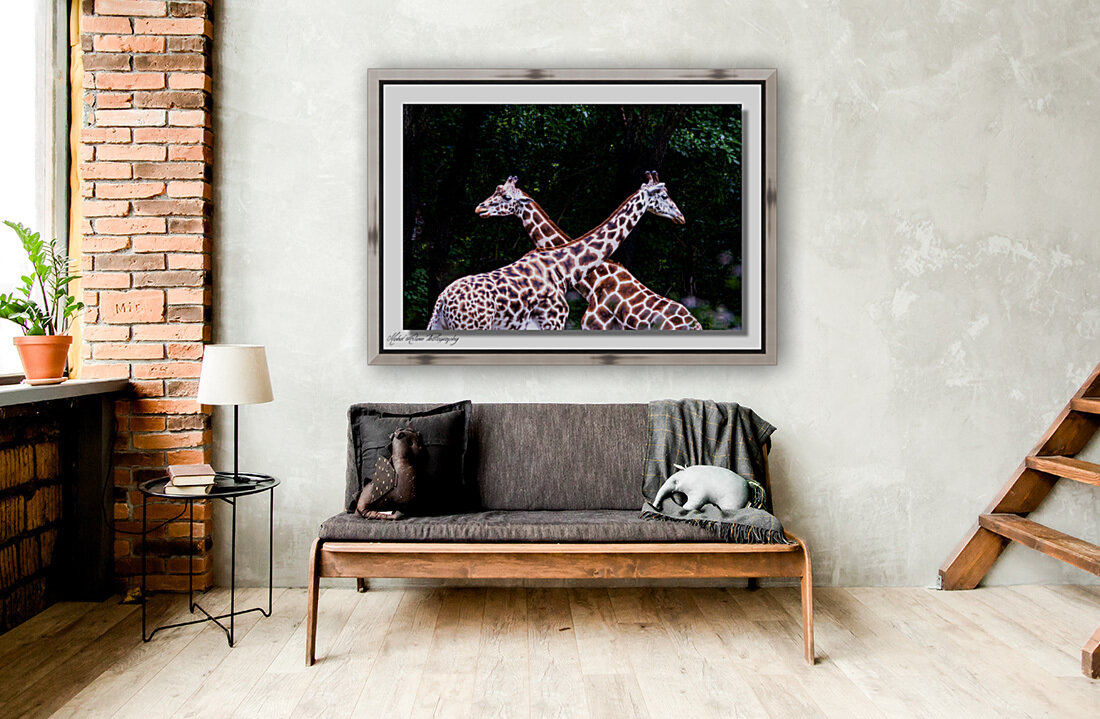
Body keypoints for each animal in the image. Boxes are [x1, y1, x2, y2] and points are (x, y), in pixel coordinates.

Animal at [426, 172, 685, 331]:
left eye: (505, 195)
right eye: (664, 195)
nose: (680, 216)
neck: (565, 267)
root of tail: (442, 301)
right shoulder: (556, 321)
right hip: (473, 325)